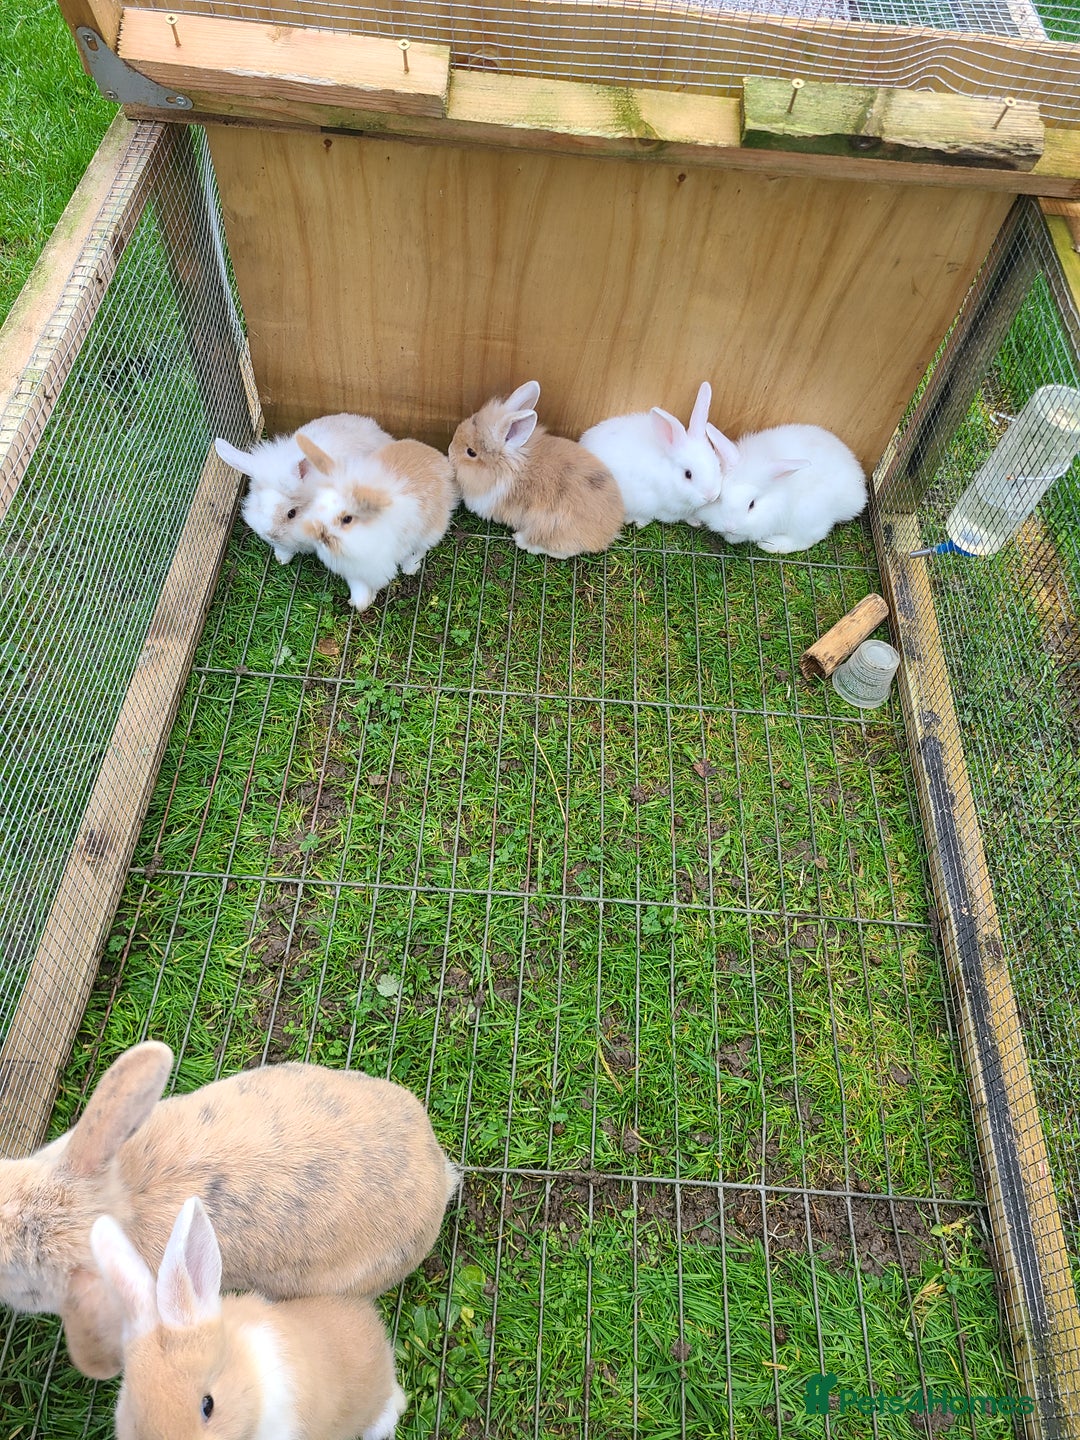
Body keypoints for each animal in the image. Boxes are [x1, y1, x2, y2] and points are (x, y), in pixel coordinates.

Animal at [297, 433, 458, 611]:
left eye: (347, 519)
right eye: (318, 504)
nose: (321, 536)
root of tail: (443, 463)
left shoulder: (375, 568)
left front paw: (366, 602)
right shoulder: (354, 571)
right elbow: (359, 590)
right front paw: (359, 603)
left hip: (431, 529)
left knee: (420, 549)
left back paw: (409, 568)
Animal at [448, 380, 623, 558]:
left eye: (471, 452)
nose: (449, 451)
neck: (504, 468)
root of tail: (609, 532)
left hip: (548, 529)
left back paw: (521, 541)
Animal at [695, 422, 868, 553]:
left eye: (752, 504)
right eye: (720, 498)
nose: (730, 527)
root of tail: (859, 495)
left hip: (806, 516)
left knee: (807, 540)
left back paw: (770, 545)